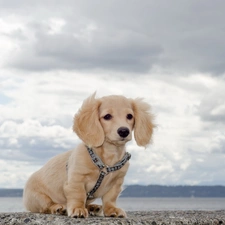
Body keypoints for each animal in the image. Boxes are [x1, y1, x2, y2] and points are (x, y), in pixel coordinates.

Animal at [22, 93, 155, 218]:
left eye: (130, 116)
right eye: (107, 116)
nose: (124, 131)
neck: (107, 160)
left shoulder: (116, 182)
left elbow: (110, 198)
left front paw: (111, 210)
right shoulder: (76, 180)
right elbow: (78, 195)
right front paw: (78, 209)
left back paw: (92, 207)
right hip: (38, 198)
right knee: (46, 206)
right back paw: (58, 208)